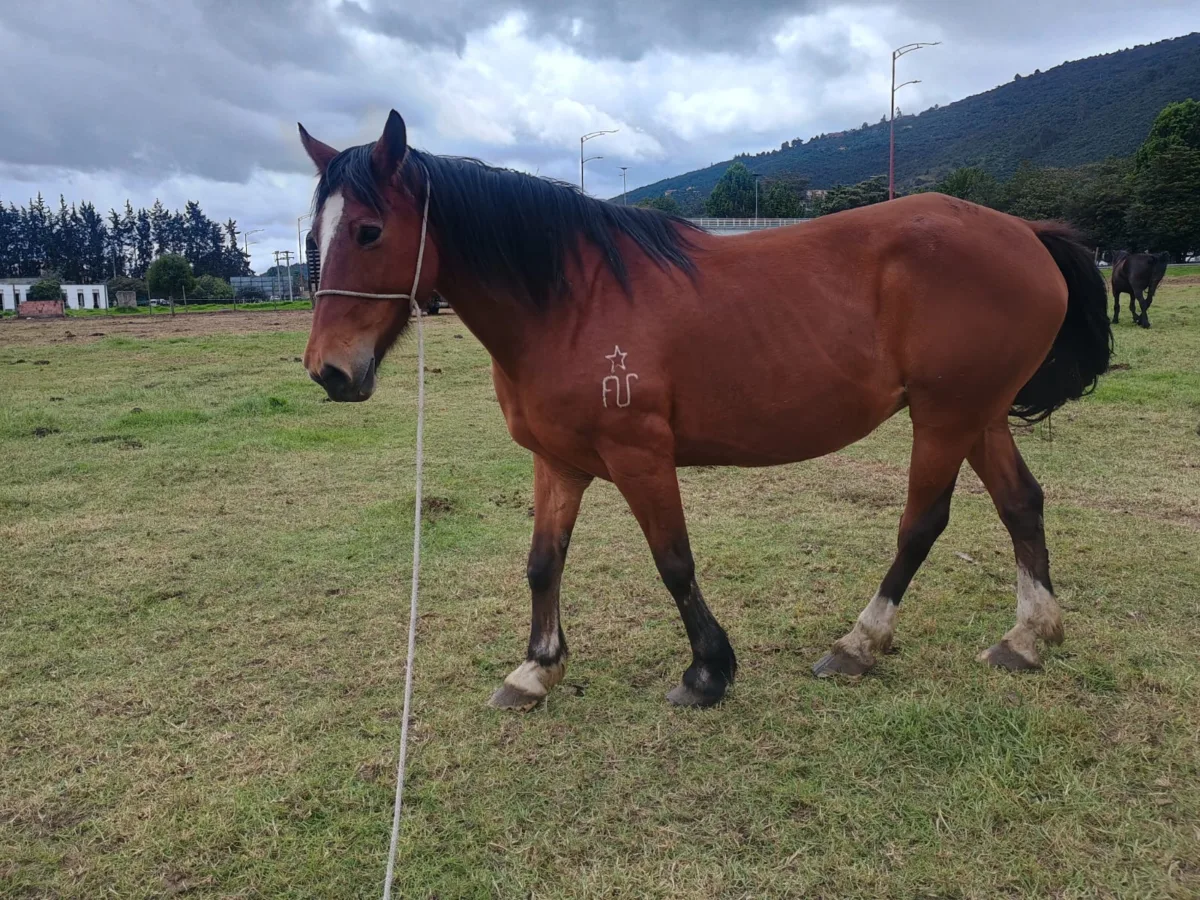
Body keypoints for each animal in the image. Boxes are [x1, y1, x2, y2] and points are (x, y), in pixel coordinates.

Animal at [298, 111, 1112, 710]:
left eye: (369, 230)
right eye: (313, 237)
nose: (330, 372)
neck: (572, 301)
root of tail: (1025, 232)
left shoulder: (639, 457)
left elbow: (673, 561)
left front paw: (708, 671)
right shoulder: (558, 460)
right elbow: (542, 562)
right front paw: (536, 668)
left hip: (945, 418)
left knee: (922, 524)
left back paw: (860, 643)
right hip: (979, 415)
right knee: (1021, 504)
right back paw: (1029, 636)